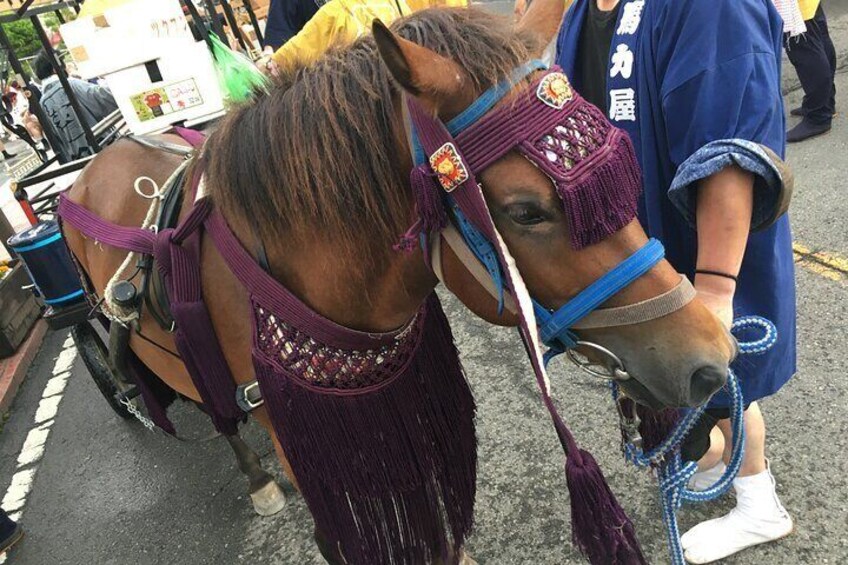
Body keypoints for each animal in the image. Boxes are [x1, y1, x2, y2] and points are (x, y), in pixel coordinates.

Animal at [59, 2, 736, 560]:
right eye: (525, 212)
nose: (711, 360)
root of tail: (92, 168)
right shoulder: (300, 436)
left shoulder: (404, 398)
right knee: (216, 412)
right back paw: (254, 476)